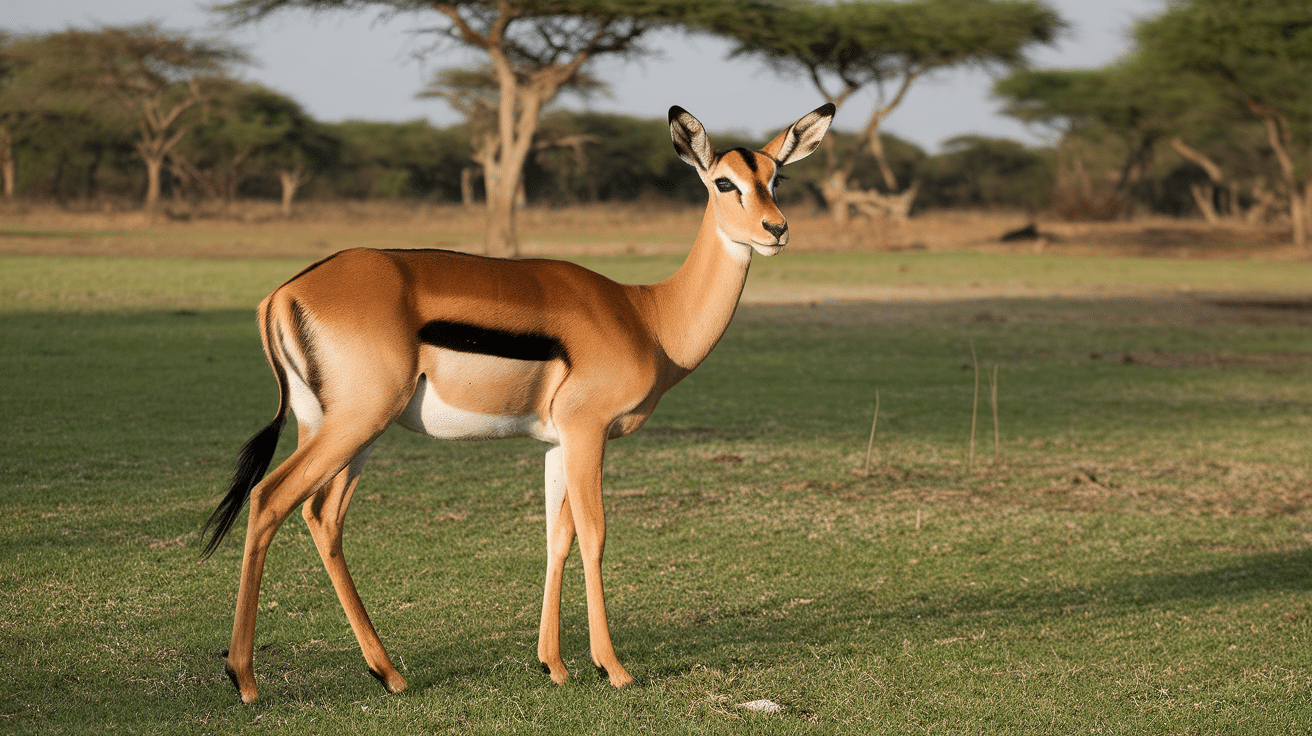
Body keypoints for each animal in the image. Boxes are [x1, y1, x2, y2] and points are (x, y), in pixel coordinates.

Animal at [200, 103, 835, 703]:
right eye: (724, 181)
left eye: (776, 177)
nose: (776, 229)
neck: (647, 316)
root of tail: (283, 293)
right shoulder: (587, 431)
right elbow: (596, 534)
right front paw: (612, 668)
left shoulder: (558, 442)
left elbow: (558, 538)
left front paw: (554, 665)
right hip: (355, 427)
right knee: (269, 498)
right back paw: (245, 678)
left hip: (344, 433)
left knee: (321, 515)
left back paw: (389, 674)